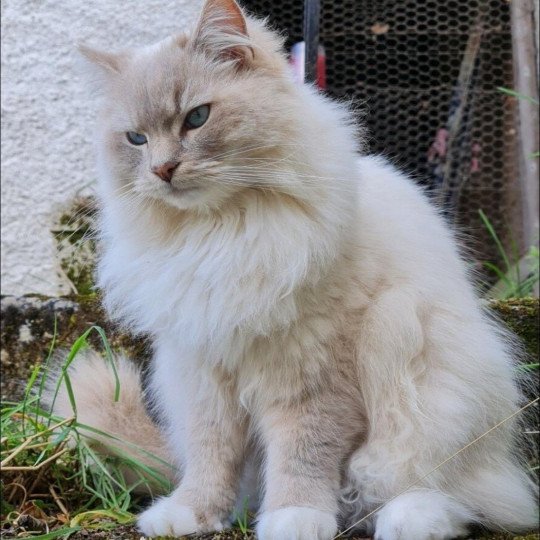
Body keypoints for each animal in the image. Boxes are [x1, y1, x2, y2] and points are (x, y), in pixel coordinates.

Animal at [48, 1, 536, 540]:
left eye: (197, 118)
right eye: (136, 139)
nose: (162, 170)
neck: (222, 232)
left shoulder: (312, 374)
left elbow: (303, 456)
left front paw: (295, 518)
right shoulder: (205, 375)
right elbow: (210, 456)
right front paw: (192, 515)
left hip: (420, 361)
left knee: (442, 491)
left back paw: (409, 520)